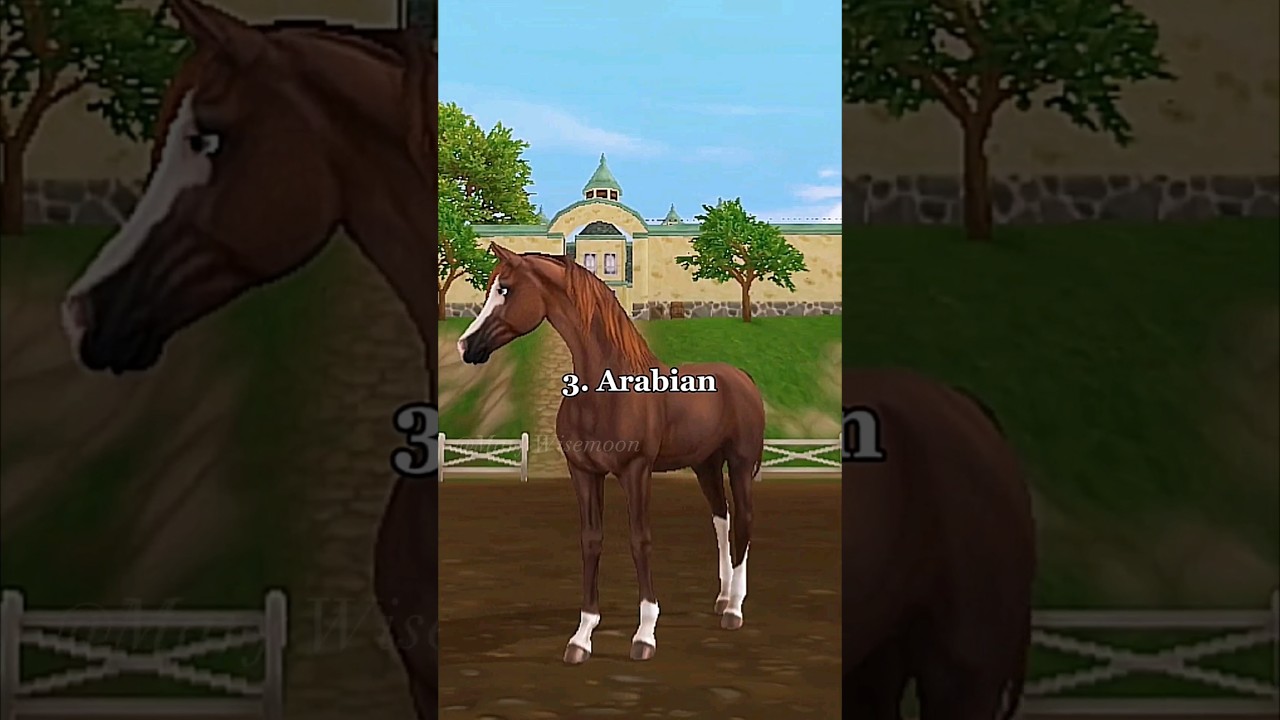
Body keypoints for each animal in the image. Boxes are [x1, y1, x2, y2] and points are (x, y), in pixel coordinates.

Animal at [455, 244, 766, 663]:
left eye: (504, 289)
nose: (465, 346)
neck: (607, 388)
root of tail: (742, 377)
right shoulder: (583, 472)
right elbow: (591, 540)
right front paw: (581, 637)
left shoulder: (636, 471)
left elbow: (640, 540)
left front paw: (645, 634)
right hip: (706, 465)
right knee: (722, 520)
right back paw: (721, 598)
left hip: (740, 463)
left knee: (745, 520)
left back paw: (734, 609)